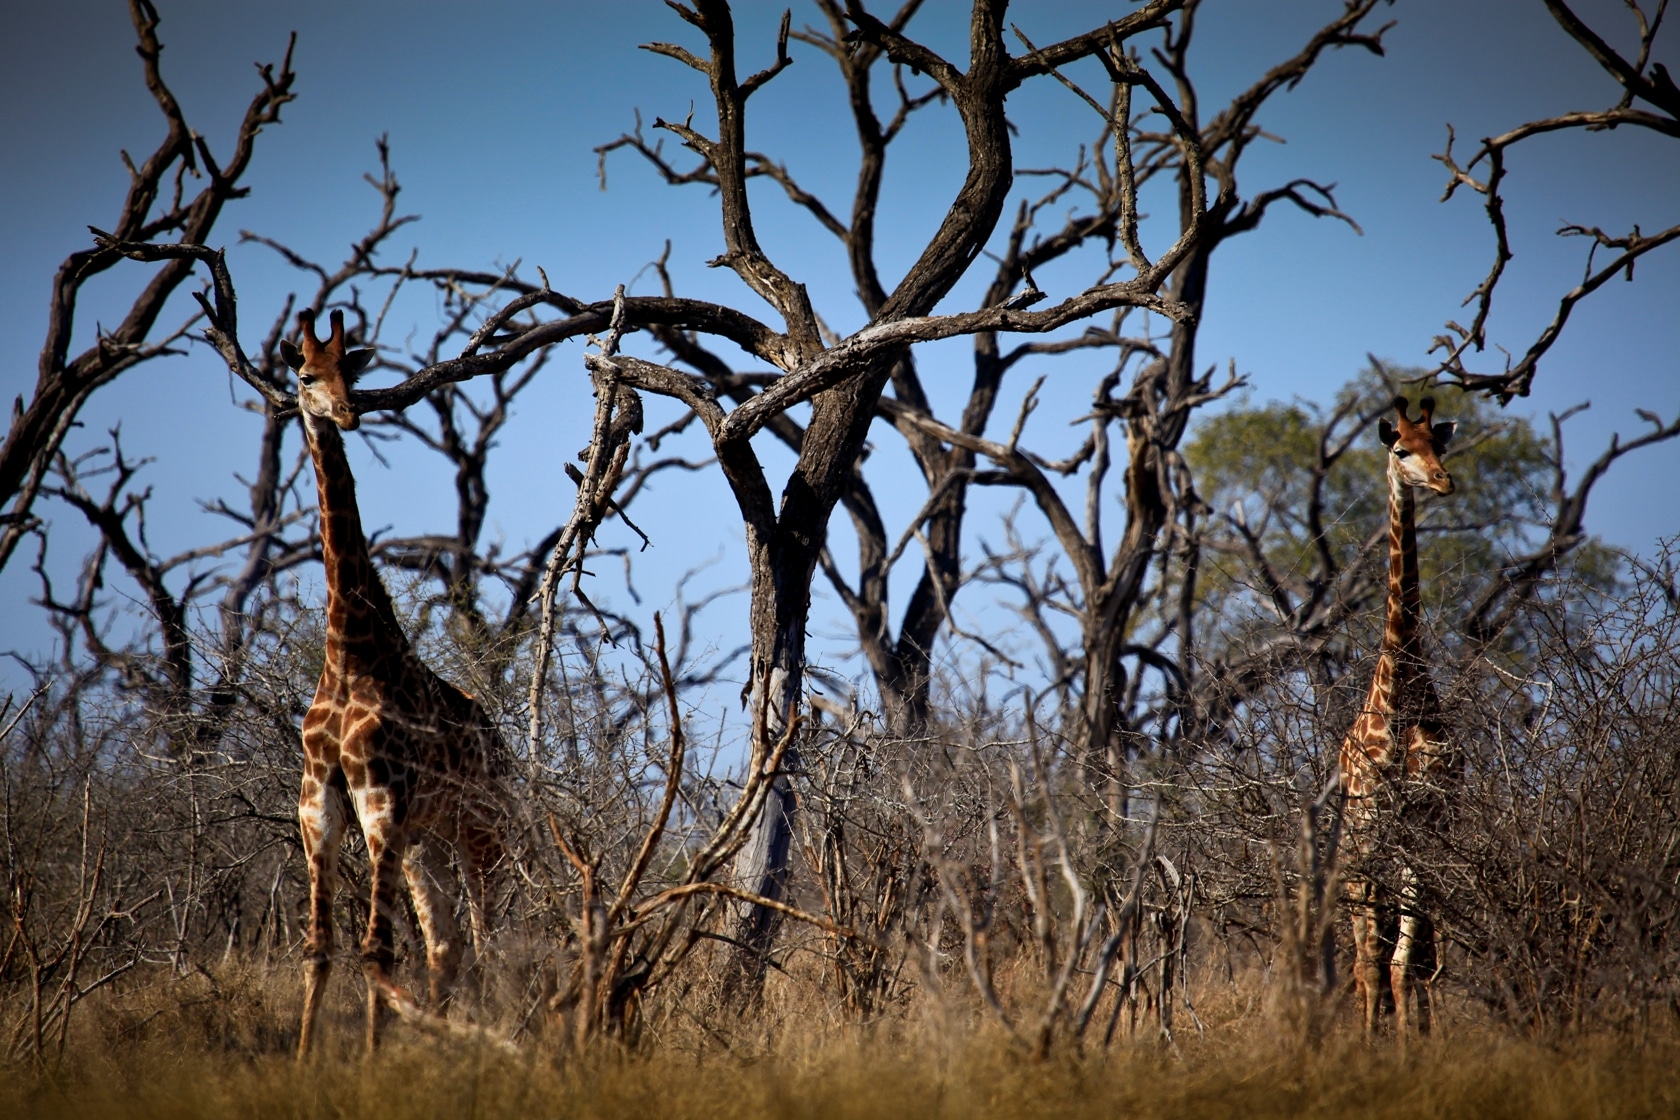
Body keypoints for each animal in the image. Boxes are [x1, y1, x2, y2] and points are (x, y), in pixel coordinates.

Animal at [282, 308, 500, 1061]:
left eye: (353, 370)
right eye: (307, 375)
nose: (346, 414)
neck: (352, 655)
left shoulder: (381, 799)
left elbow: (377, 948)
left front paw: (373, 1065)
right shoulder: (320, 800)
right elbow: (320, 945)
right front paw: (303, 1062)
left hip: (479, 826)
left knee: (490, 938)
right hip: (426, 838)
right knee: (447, 942)